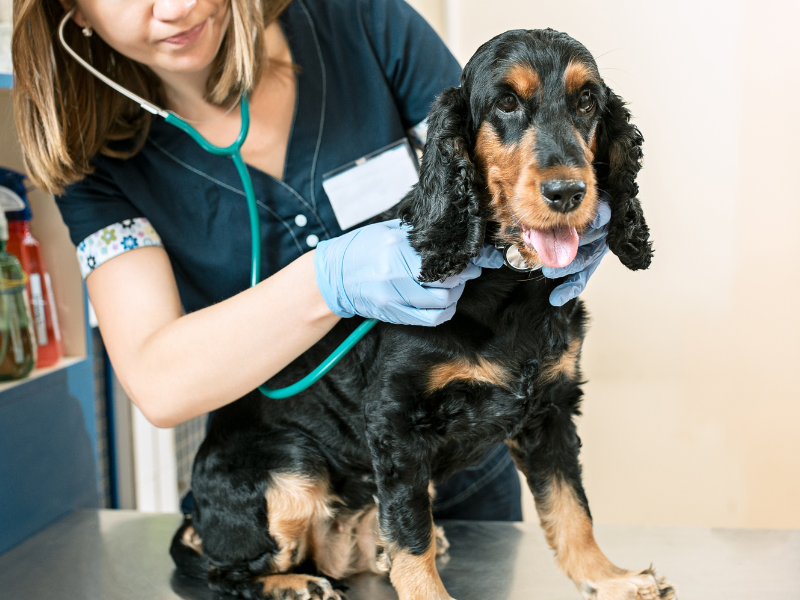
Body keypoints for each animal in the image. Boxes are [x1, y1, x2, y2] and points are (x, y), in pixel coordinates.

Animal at [172, 28, 680, 600]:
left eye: (587, 101)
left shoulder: (550, 408)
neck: (509, 285)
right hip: (291, 468)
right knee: (223, 571)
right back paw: (293, 582)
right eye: (506, 103)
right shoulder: (395, 422)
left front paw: (609, 577)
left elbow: (571, 506)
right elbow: (412, 533)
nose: (568, 192)